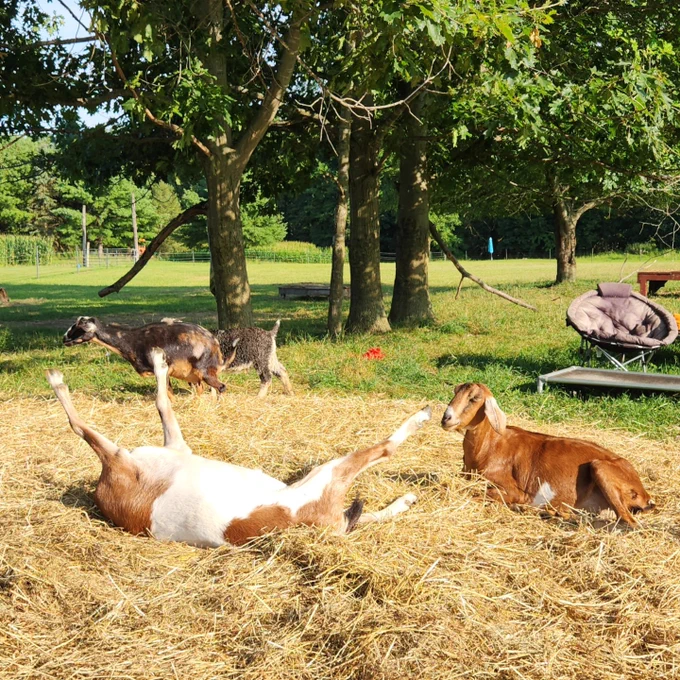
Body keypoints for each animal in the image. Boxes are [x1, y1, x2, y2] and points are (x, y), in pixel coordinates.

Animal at [63, 316, 236, 394]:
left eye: (77, 328)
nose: (64, 339)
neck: (131, 340)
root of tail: (215, 343)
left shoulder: (161, 370)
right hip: (195, 376)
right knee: (203, 389)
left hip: (205, 371)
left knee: (221, 387)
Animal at [441, 383, 655, 526]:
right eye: (455, 392)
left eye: (474, 398)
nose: (446, 418)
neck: (488, 448)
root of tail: (645, 494)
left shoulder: (515, 491)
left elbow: (476, 493)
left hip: (600, 468)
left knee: (628, 522)